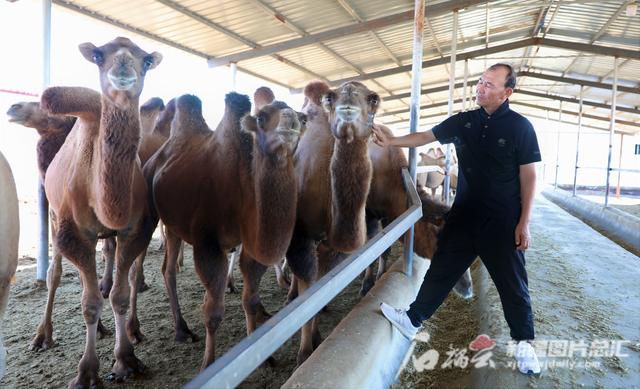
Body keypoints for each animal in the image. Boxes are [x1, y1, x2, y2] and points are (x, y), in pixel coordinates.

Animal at [41, 35, 161, 384]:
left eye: (146, 60)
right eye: (98, 55)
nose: (122, 68)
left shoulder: (135, 229)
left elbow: (119, 296)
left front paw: (125, 360)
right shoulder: (74, 235)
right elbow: (89, 303)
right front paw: (86, 373)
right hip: (54, 216)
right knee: (55, 273)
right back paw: (42, 336)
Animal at [145, 91, 302, 370]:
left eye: (295, 112)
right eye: (262, 117)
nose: (292, 118)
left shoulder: (251, 245)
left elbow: (250, 300)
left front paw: (263, 355)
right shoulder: (207, 243)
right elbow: (213, 312)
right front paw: (208, 363)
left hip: (174, 226)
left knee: (167, 268)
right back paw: (178, 331)